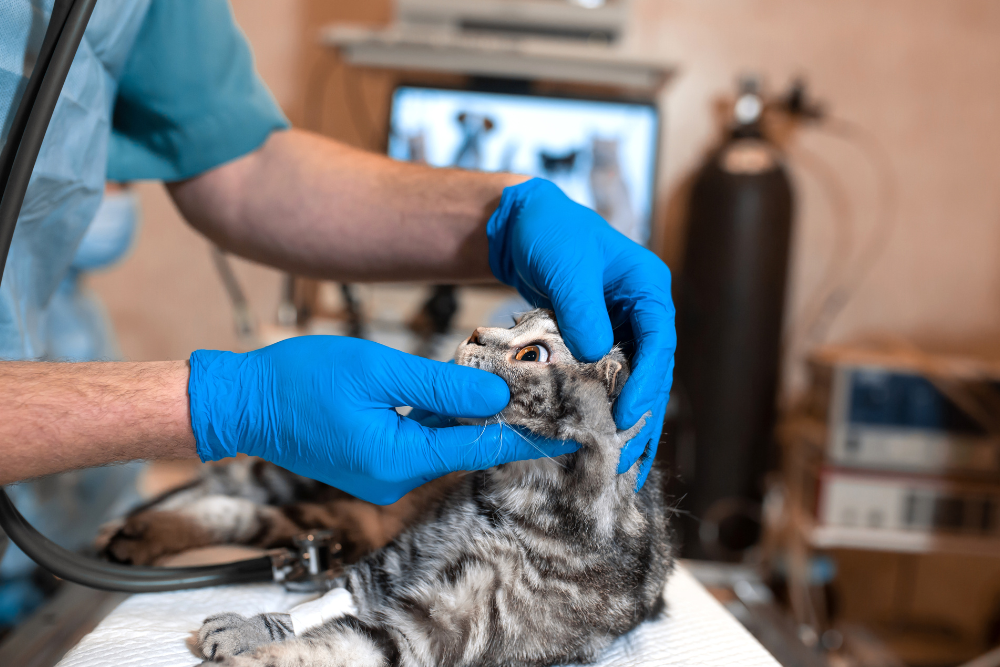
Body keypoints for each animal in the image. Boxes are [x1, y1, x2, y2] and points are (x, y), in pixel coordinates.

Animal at [101, 310, 672, 664]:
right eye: (514, 321)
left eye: (530, 355)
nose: (474, 331)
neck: (509, 501)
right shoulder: (387, 565)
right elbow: (324, 605)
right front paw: (250, 628)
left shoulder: (431, 631)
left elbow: (320, 646)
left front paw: (249, 651)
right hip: (304, 461)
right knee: (224, 488)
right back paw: (126, 528)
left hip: (323, 522)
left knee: (240, 510)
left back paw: (134, 536)